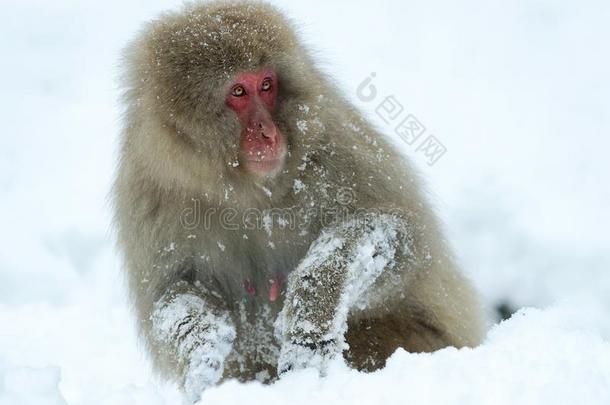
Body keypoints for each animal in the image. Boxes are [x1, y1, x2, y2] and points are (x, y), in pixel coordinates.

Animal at [113, 0, 484, 400]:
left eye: (266, 85)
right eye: (238, 92)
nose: (268, 132)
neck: (247, 191)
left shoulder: (333, 148)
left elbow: (402, 239)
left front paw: (313, 310)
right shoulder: (149, 191)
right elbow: (173, 291)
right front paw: (201, 350)